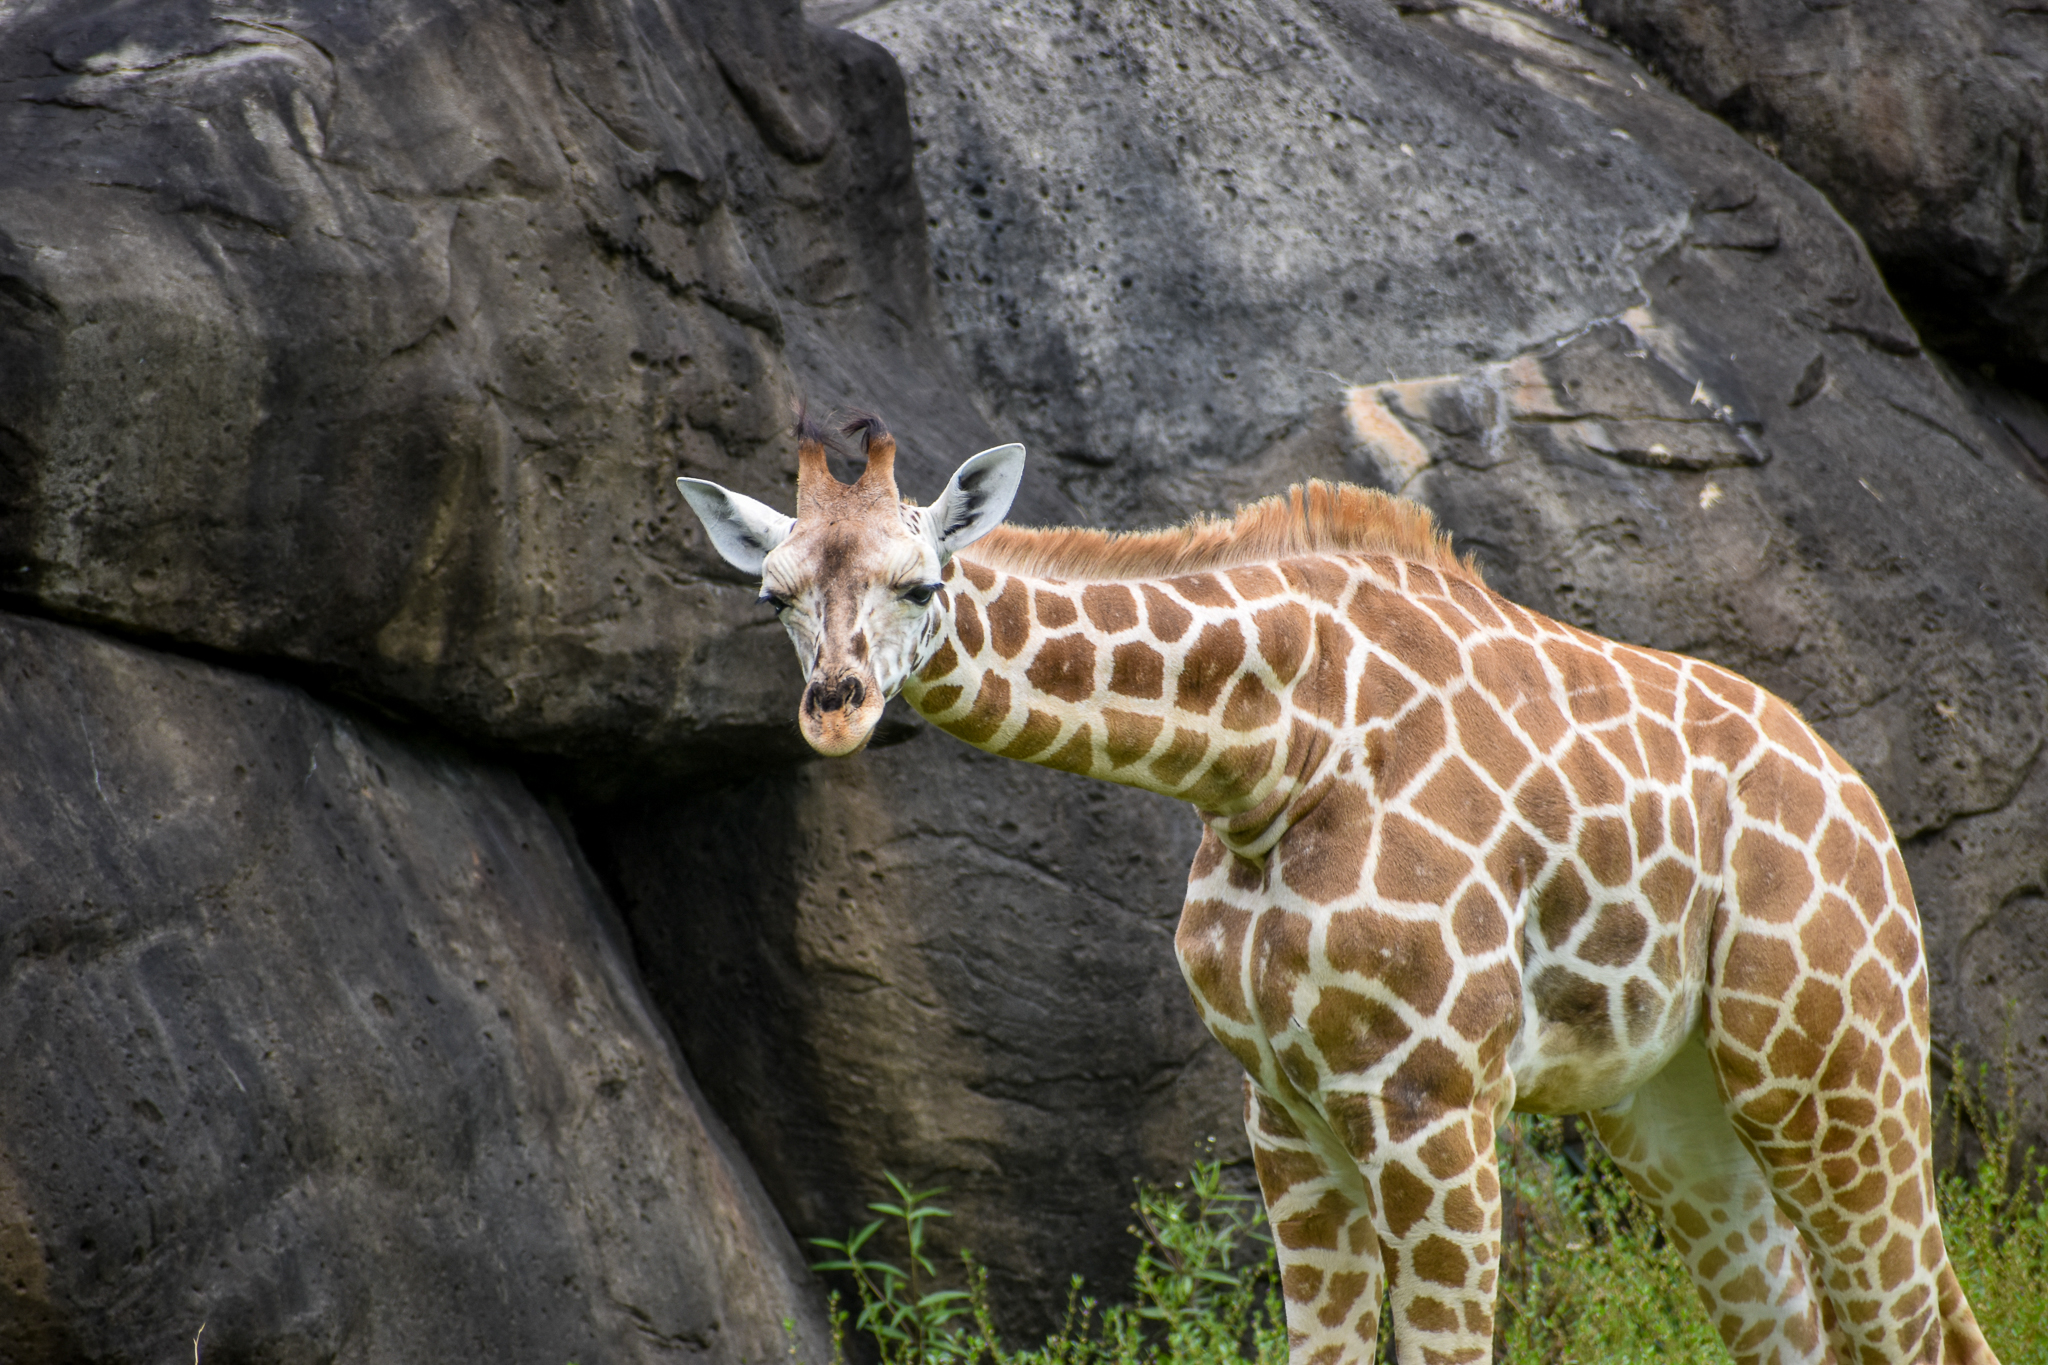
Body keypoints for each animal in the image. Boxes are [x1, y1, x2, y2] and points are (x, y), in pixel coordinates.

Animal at [674, 411, 2000, 1365]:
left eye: (920, 584)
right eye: (770, 596)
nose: (833, 710)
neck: (1275, 755)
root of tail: (1864, 813)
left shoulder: (1433, 1099)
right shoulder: (1284, 1109)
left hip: (1832, 1067)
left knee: (1917, 1327)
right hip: (1675, 1103)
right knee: (1809, 1329)